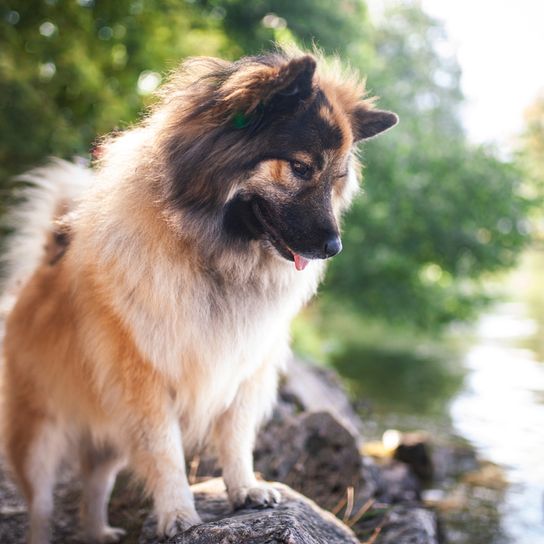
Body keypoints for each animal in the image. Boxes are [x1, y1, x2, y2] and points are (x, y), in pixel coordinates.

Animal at [1, 49, 400, 540]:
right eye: (301, 168)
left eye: (337, 180)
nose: (333, 247)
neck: (215, 257)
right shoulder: (145, 384)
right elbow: (166, 453)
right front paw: (178, 513)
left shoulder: (244, 371)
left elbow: (236, 437)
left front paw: (246, 489)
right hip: (39, 436)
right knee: (40, 504)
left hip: (108, 435)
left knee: (95, 485)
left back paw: (98, 532)